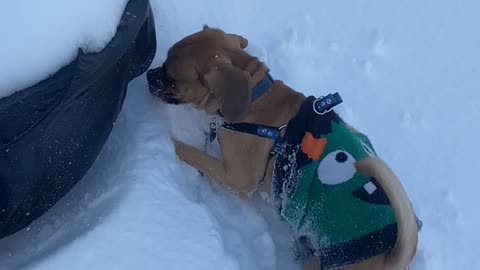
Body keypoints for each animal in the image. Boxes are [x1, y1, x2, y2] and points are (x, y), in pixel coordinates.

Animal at [146, 25, 416, 270]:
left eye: (172, 77)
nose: (149, 75)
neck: (255, 98)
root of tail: (393, 259)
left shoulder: (238, 179)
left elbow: (194, 154)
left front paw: (170, 143)